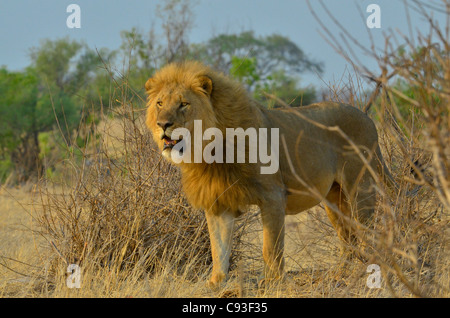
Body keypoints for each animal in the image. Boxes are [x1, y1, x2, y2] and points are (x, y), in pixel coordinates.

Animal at [145, 60, 390, 286]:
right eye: (159, 103)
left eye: (184, 104)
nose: (163, 124)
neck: (210, 149)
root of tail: (367, 117)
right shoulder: (218, 202)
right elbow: (218, 248)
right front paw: (216, 283)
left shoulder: (272, 196)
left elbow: (270, 246)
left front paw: (273, 282)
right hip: (334, 198)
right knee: (347, 237)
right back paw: (339, 275)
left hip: (360, 190)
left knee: (367, 233)